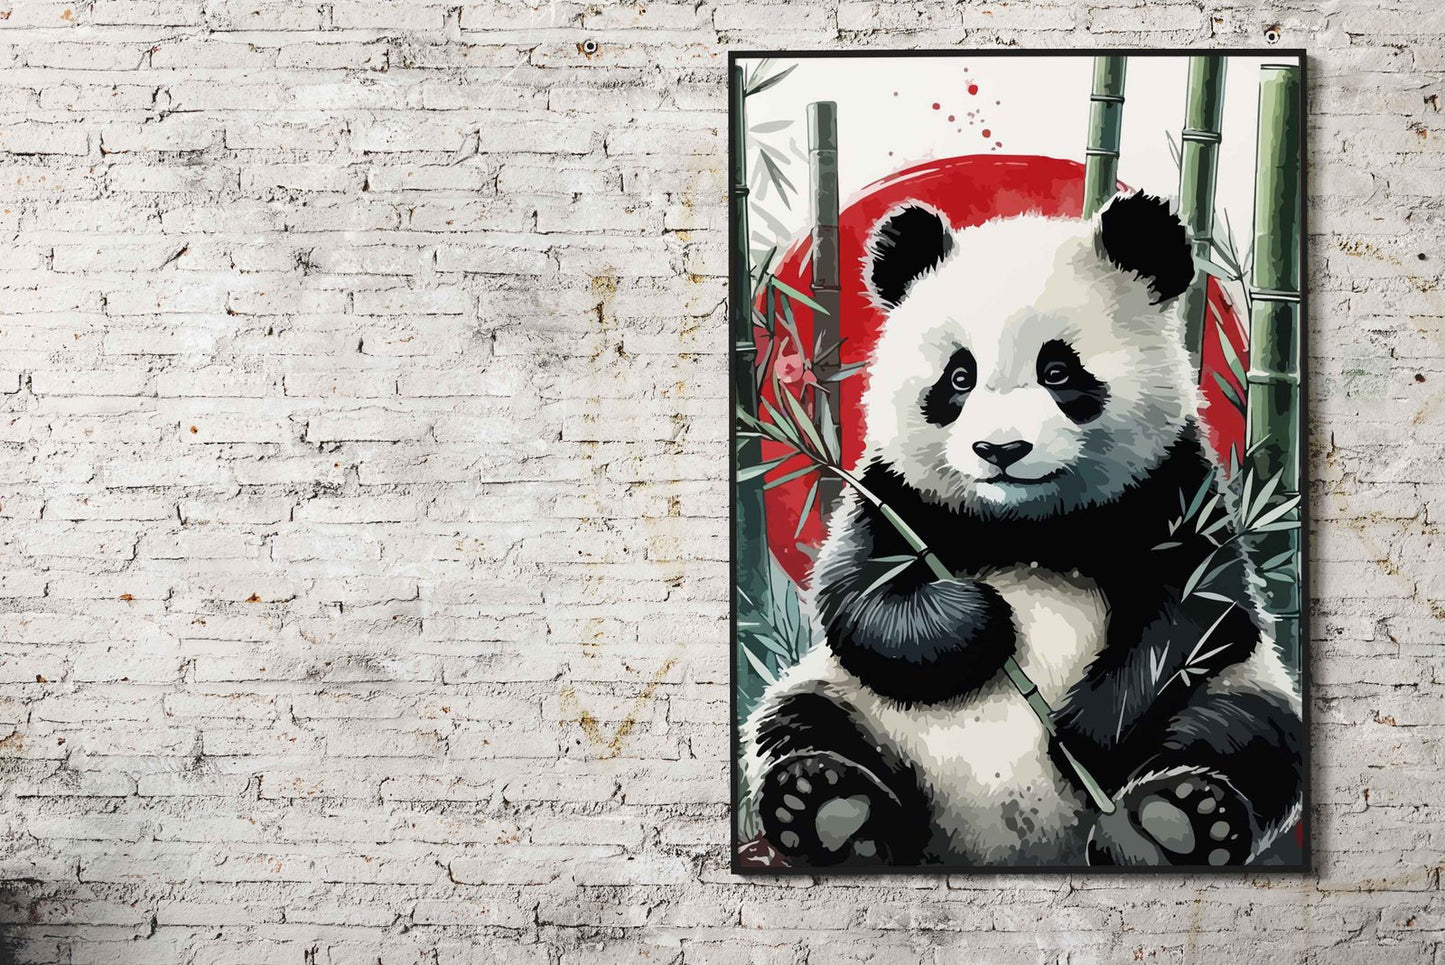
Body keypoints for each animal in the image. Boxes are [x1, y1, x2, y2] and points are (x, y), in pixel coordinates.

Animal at [740, 191, 1303, 868]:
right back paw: (825, 806)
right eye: (958, 377)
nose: (1000, 450)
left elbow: (1198, 611)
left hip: (1243, 689)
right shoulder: (896, 494)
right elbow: (857, 595)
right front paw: (982, 620)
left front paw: (1081, 737)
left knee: (1244, 733)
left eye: (1058, 371)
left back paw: (1173, 822)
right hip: (851, 700)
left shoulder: (1172, 488)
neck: (1029, 527)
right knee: (802, 721)